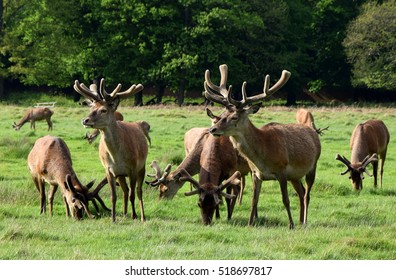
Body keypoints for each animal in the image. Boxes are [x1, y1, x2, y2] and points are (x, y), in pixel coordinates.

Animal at [73, 77, 148, 222]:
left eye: (103, 110)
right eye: (91, 107)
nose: (85, 120)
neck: (117, 156)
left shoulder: (133, 169)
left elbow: (133, 194)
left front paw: (135, 216)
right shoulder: (109, 170)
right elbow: (114, 196)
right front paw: (113, 219)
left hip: (142, 167)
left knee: (138, 191)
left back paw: (141, 216)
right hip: (121, 175)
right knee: (125, 191)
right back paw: (124, 214)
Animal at [204, 64, 322, 229]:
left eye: (235, 117)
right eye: (221, 115)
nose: (212, 129)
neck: (262, 156)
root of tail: (313, 131)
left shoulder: (282, 171)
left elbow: (286, 200)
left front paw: (290, 225)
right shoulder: (256, 174)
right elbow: (254, 201)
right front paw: (249, 224)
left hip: (313, 166)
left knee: (307, 194)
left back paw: (303, 221)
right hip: (295, 175)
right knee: (301, 191)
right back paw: (300, 220)